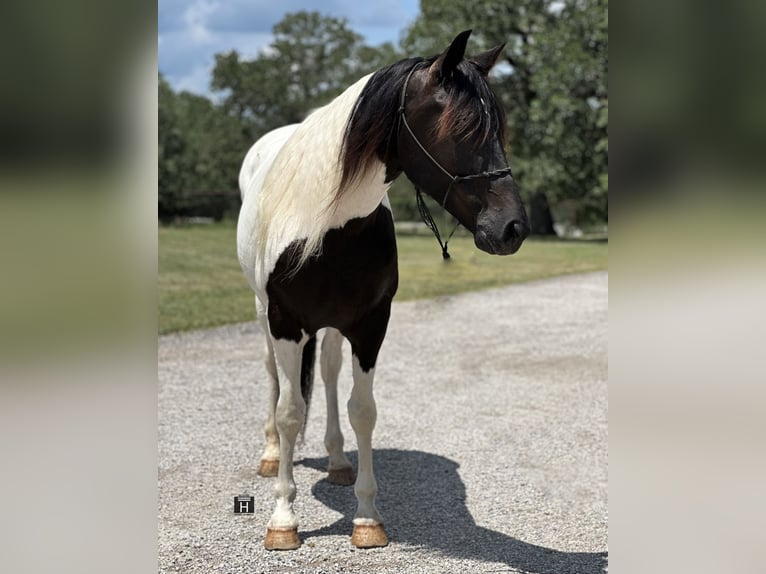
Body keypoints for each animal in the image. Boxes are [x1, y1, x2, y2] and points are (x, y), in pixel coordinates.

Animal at [237, 31, 532, 552]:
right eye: (463, 128)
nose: (512, 228)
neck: (326, 223)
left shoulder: (369, 324)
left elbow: (362, 411)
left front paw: (367, 517)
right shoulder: (285, 322)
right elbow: (291, 411)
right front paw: (283, 520)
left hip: (334, 328)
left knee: (329, 373)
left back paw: (337, 461)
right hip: (263, 314)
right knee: (274, 378)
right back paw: (272, 454)